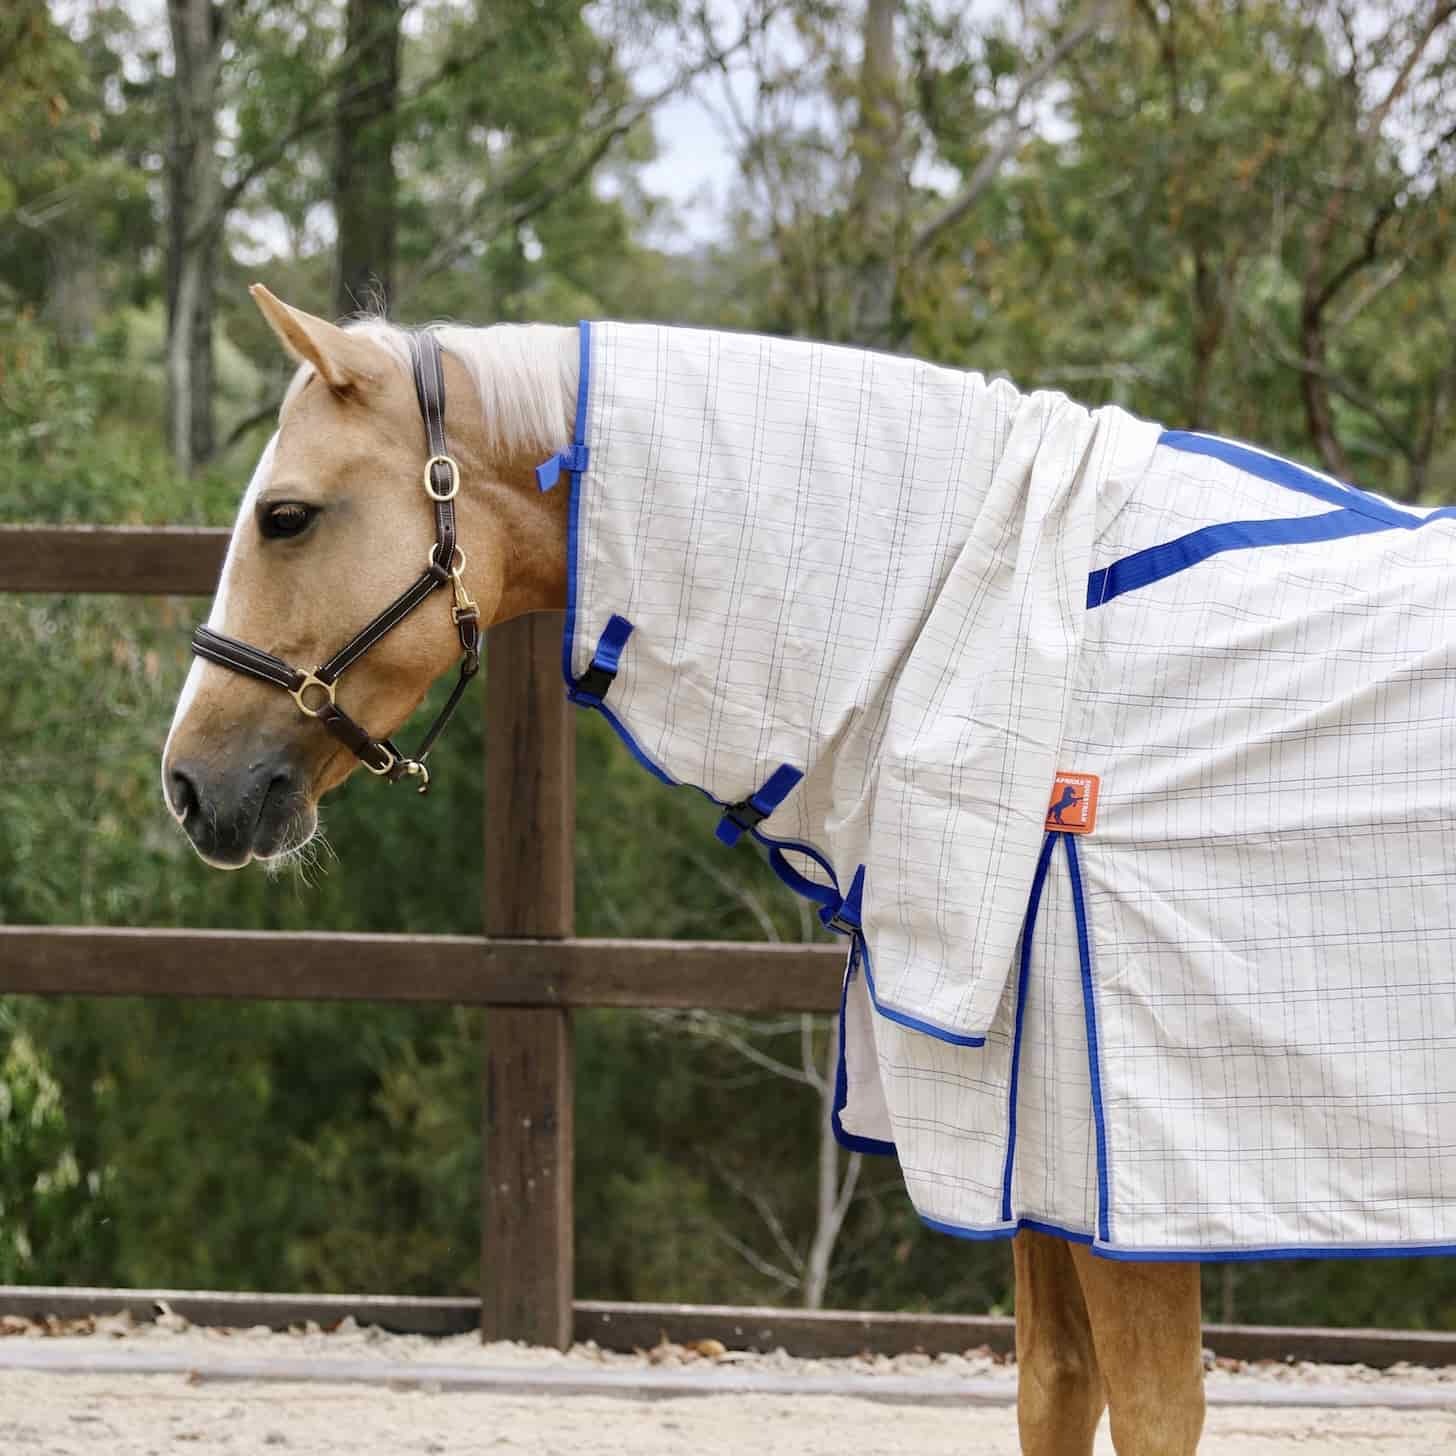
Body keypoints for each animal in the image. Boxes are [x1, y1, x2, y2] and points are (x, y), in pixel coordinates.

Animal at [165, 285, 1456, 1453]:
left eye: (285, 516)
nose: (187, 784)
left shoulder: (1117, 1189)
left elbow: (1146, 1410)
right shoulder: (1025, 1160)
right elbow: (1054, 1388)